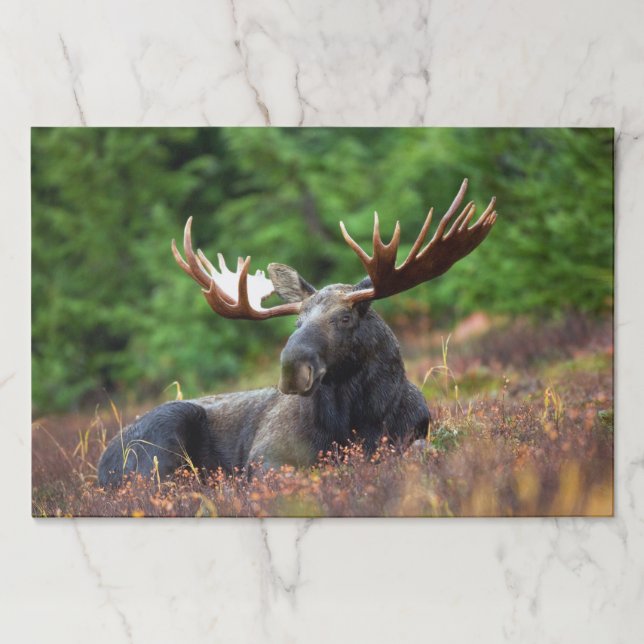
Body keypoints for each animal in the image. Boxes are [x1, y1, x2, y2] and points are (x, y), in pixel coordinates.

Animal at [98, 179, 497, 487]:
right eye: (297, 322)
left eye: (345, 318)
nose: (292, 369)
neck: (361, 419)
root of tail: (101, 465)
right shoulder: (266, 456)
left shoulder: (413, 434)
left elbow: (418, 451)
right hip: (162, 439)